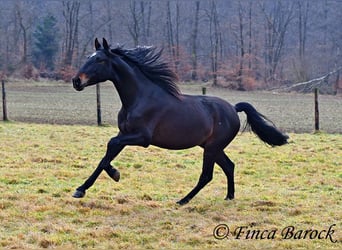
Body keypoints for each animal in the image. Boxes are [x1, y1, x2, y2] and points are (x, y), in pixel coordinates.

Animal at [72, 38, 288, 204]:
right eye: (88, 57)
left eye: (99, 60)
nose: (76, 81)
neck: (139, 98)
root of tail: (233, 109)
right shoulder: (124, 133)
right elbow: (107, 155)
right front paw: (84, 187)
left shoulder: (142, 138)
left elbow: (110, 146)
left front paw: (109, 176)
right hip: (212, 147)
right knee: (229, 166)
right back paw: (229, 197)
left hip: (212, 148)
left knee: (207, 175)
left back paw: (183, 200)